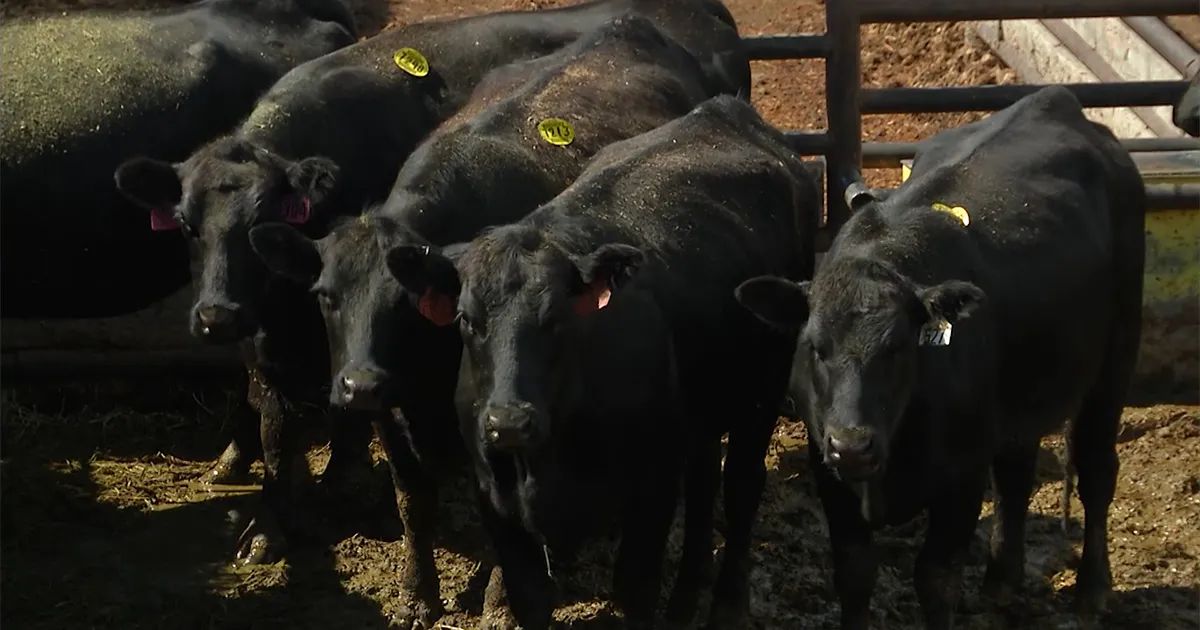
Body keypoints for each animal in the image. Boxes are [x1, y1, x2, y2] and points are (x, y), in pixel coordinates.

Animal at [245, 15, 729, 626]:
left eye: (404, 302)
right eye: (325, 295)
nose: (358, 385)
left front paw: (498, 596)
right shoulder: (393, 415)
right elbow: (413, 503)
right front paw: (417, 593)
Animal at [386, 95, 818, 629]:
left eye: (557, 317)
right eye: (466, 318)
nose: (508, 422)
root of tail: (728, 111)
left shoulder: (650, 489)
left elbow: (633, 590)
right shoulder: (497, 503)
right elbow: (530, 598)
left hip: (760, 395)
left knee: (741, 488)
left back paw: (728, 605)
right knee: (703, 487)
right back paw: (685, 599)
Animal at [735, 86, 1145, 629]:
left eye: (898, 347)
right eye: (814, 348)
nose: (854, 444)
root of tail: (1054, 99)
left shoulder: (961, 481)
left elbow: (936, 580)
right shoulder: (831, 474)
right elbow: (854, 571)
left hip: (1115, 360)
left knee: (1096, 469)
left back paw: (1092, 588)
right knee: (1016, 471)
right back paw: (1001, 580)